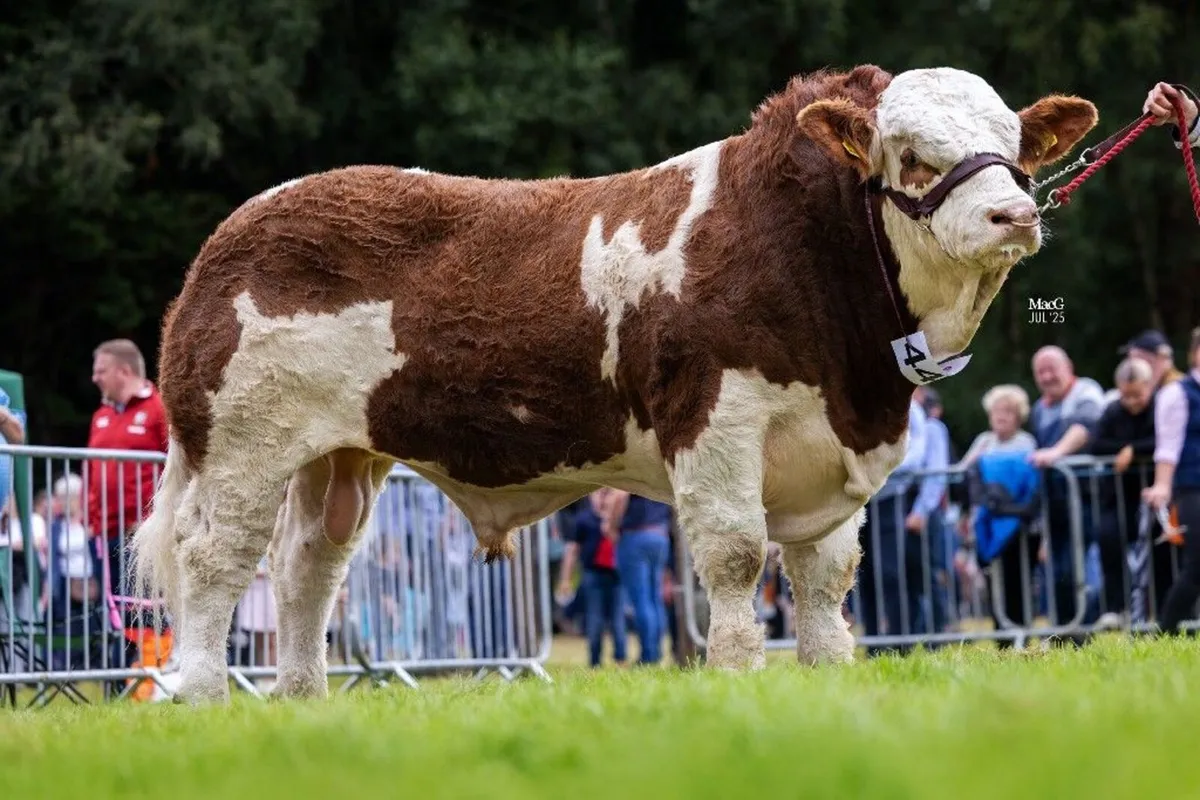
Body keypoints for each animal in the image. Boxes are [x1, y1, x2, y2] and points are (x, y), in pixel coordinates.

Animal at [133, 64, 1097, 704]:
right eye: (911, 157)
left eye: (1012, 145)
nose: (1014, 213)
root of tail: (236, 230)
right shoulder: (716, 420)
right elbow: (736, 554)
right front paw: (738, 677)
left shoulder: (832, 450)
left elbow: (826, 578)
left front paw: (827, 676)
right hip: (242, 444)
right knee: (215, 556)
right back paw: (209, 695)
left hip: (338, 455)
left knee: (308, 567)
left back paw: (301, 702)